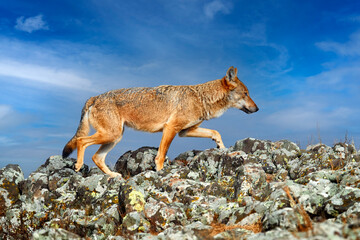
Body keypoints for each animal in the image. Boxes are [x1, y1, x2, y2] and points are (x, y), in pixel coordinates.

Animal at [62, 66, 258, 177]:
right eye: (246, 93)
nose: (257, 109)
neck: (201, 97)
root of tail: (94, 97)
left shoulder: (185, 131)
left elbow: (215, 132)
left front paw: (221, 146)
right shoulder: (170, 128)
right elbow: (161, 155)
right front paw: (160, 171)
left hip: (114, 138)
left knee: (96, 157)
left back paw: (112, 175)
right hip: (111, 135)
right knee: (81, 141)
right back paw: (78, 165)